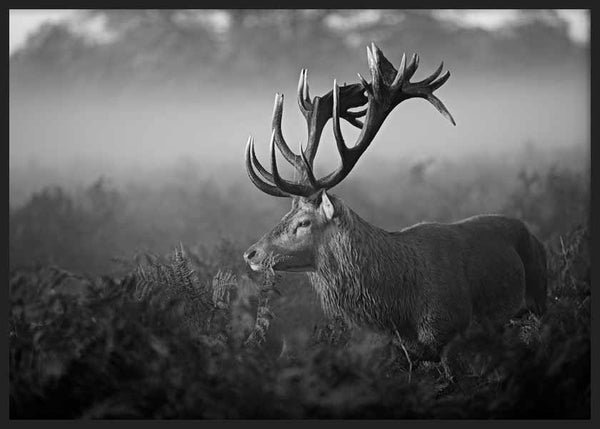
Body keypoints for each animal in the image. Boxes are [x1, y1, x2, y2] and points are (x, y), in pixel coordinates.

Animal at [240, 42, 548, 372]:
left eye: (304, 222)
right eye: (287, 213)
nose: (251, 253)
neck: (402, 310)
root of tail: (534, 235)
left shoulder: (453, 333)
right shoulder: (398, 349)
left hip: (540, 298)